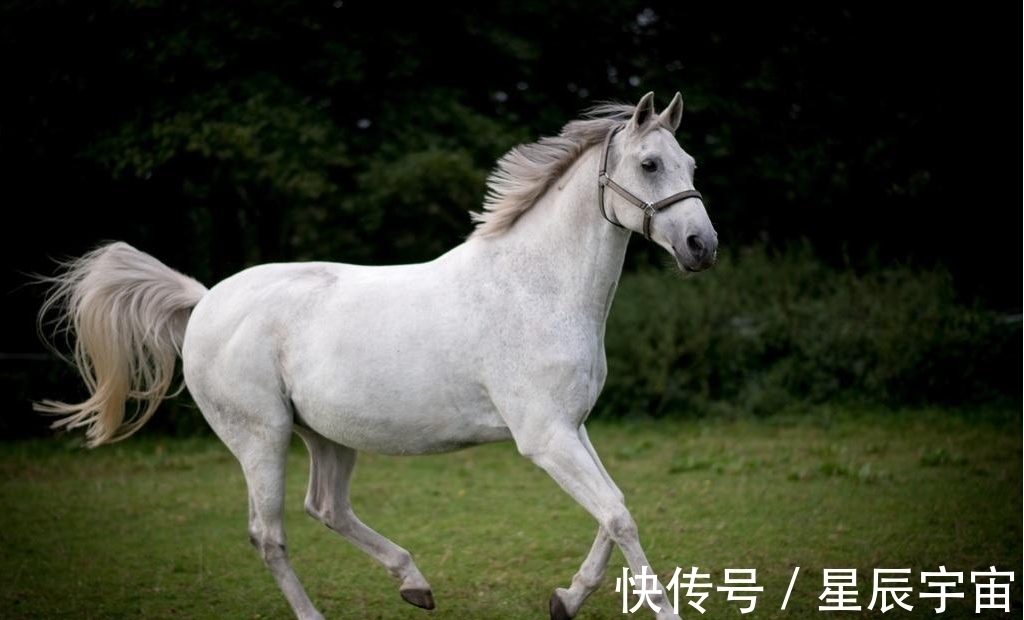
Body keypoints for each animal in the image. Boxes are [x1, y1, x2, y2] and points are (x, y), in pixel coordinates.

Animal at [36, 91, 716, 618]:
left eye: (689, 162)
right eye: (650, 163)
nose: (701, 245)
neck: (535, 288)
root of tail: (204, 301)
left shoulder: (572, 429)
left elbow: (613, 509)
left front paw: (565, 599)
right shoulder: (545, 437)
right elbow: (619, 516)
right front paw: (659, 609)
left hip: (327, 435)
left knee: (326, 508)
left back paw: (415, 583)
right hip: (261, 436)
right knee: (268, 534)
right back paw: (320, 612)